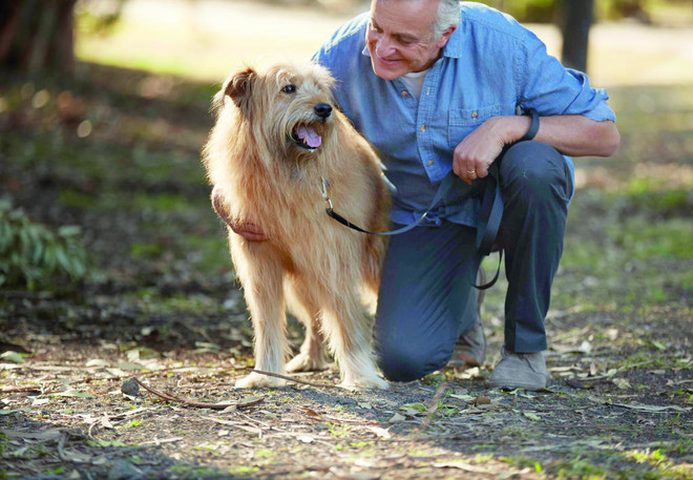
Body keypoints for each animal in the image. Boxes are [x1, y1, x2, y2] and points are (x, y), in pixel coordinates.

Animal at [203, 62, 392, 390]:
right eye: (288, 88)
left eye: (319, 87)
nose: (324, 109)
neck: (287, 171)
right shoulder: (260, 263)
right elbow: (266, 324)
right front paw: (264, 374)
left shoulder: (333, 258)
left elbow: (345, 319)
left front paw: (361, 377)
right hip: (301, 283)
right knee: (315, 319)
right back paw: (311, 359)